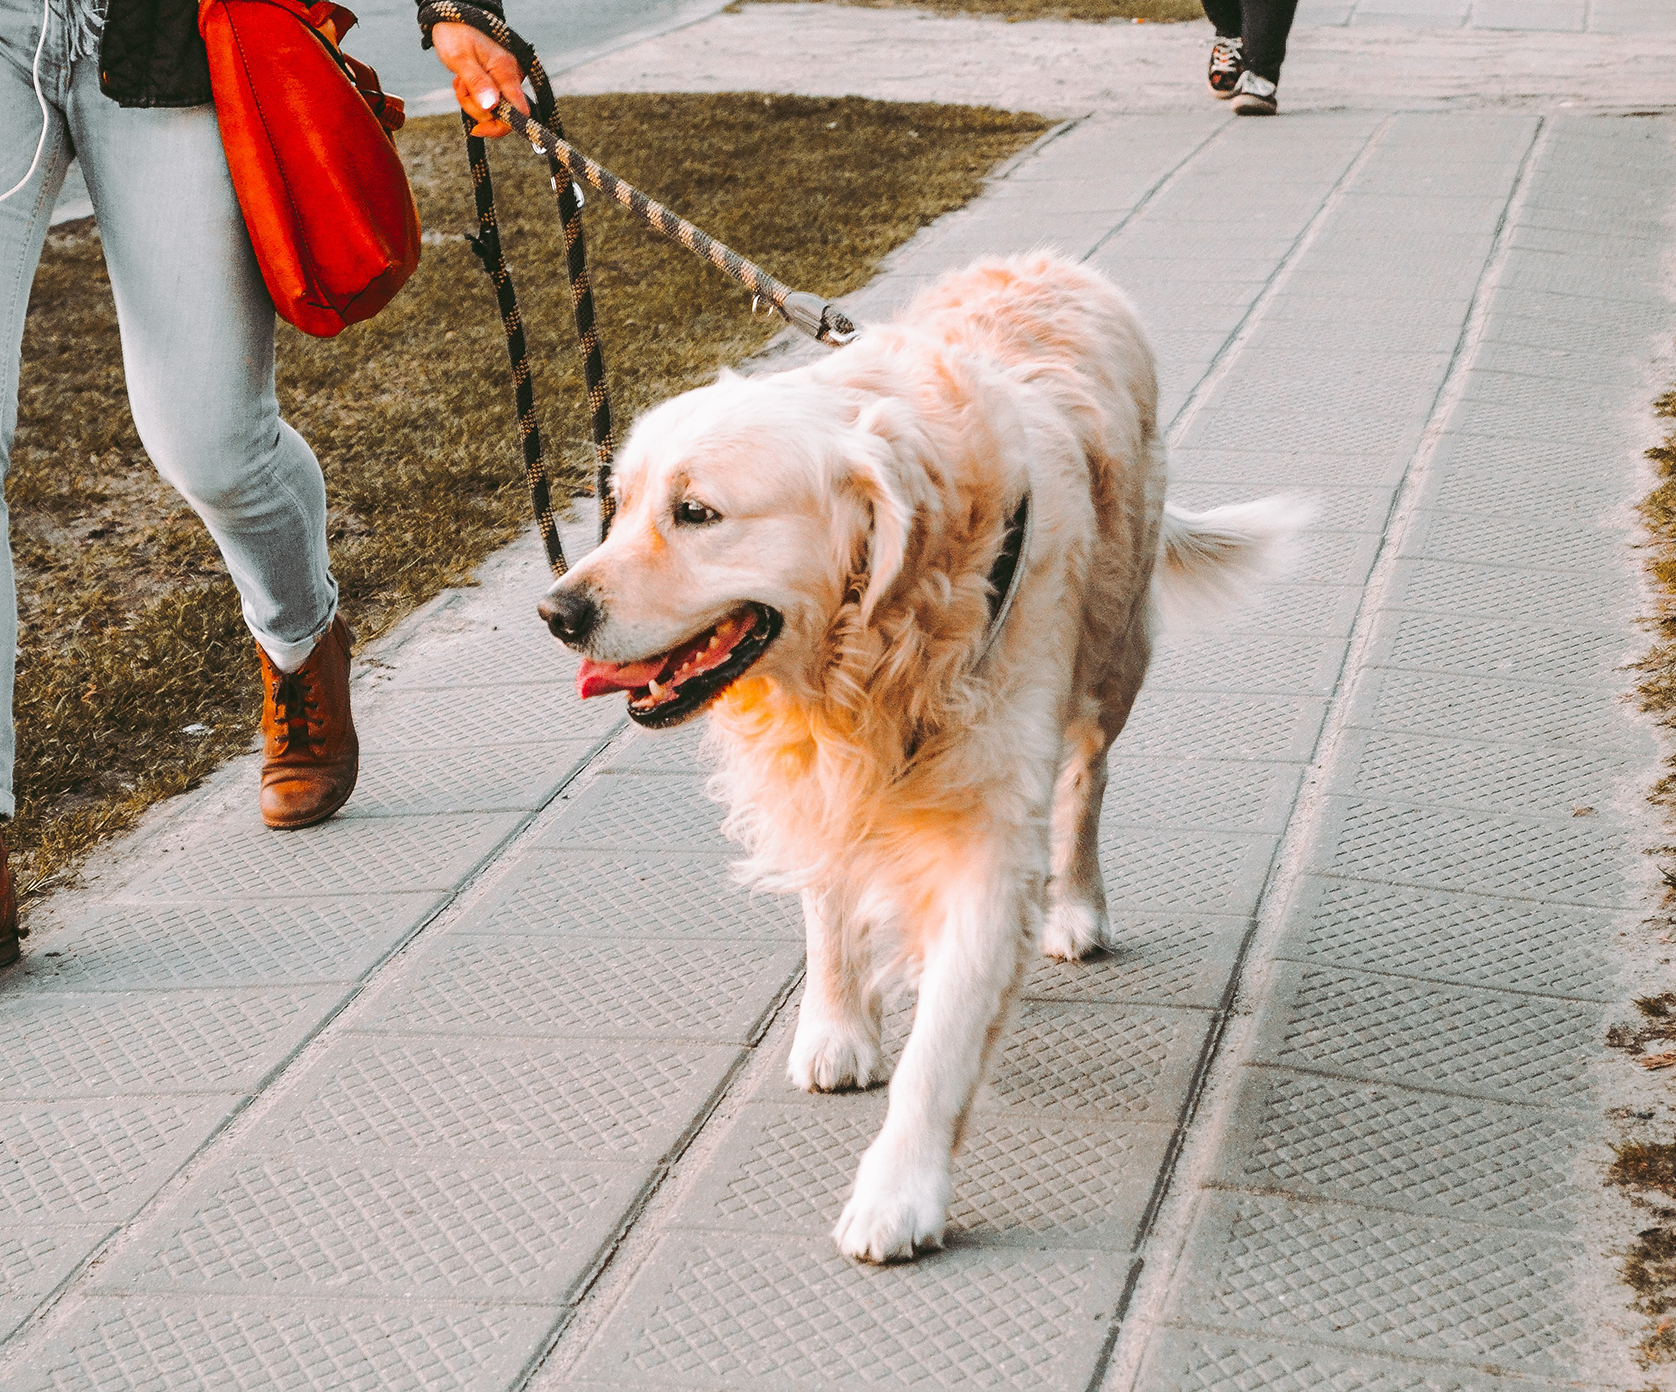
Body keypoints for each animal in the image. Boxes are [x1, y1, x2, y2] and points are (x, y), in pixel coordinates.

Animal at [532, 251, 1293, 1259]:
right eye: (617, 507)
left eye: (696, 512)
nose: (556, 611)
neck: (870, 651)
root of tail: (1053, 262)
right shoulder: (821, 777)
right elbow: (828, 905)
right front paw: (837, 1028)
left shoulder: (990, 831)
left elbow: (942, 1047)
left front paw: (899, 1192)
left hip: (1114, 654)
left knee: (1086, 780)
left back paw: (1077, 907)